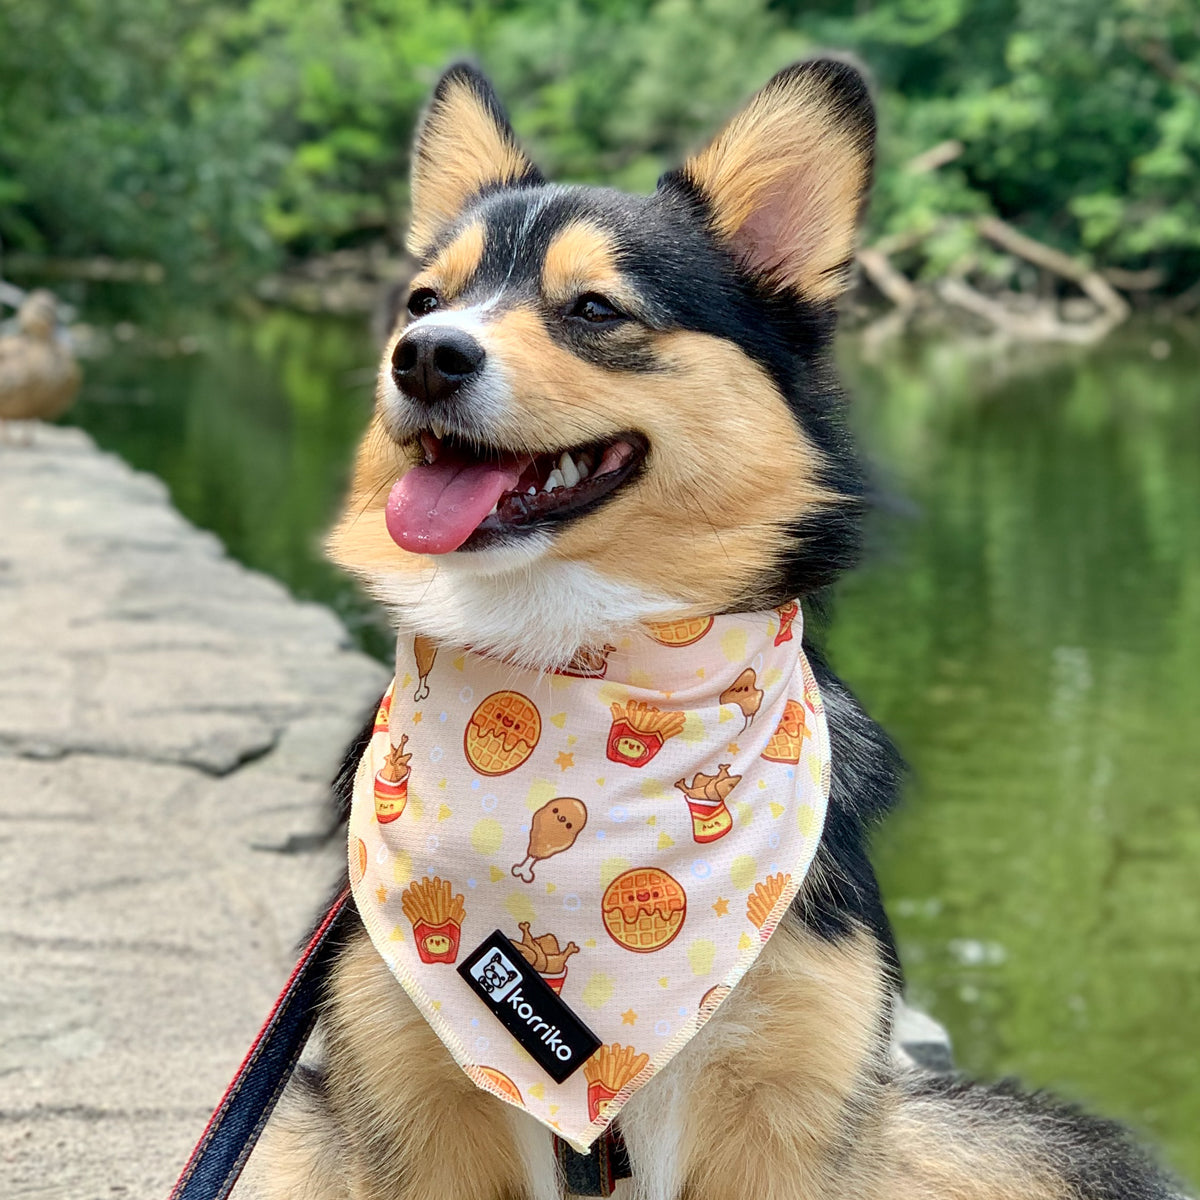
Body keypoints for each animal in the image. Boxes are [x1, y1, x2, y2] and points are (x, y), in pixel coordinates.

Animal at [258, 58, 1185, 1200]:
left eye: (596, 308)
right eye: (425, 300)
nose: (422, 355)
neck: (574, 669)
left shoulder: (792, 1109)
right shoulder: (410, 1108)